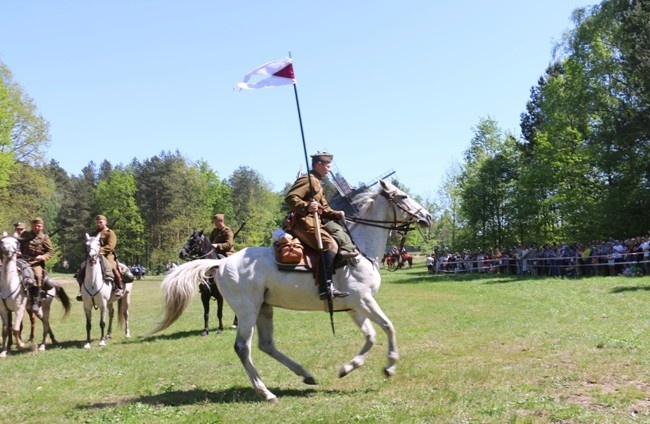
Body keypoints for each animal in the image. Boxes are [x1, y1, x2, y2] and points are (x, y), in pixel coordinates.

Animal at [147, 179, 430, 400]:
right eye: (402, 196)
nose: (427, 216)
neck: (359, 250)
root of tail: (222, 263)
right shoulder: (364, 301)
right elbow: (388, 327)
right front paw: (390, 367)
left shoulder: (354, 306)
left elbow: (370, 337)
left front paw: (347, 367)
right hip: (248, 311)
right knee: (243, 348)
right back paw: (266, 392)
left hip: (264, 308)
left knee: (266, 345)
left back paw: (305, 375)